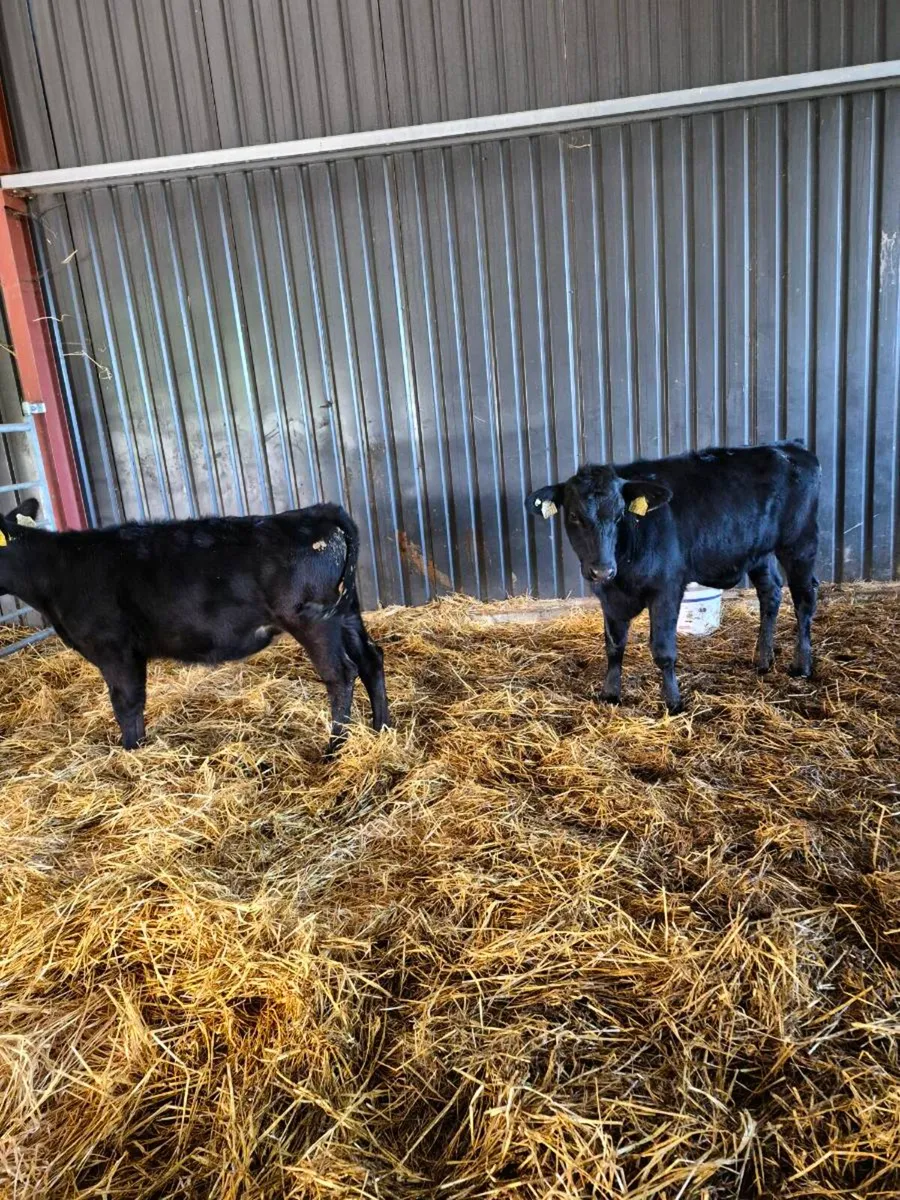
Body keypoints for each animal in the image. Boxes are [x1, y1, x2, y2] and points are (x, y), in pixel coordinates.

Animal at [0, 498, 389, 755]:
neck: (58, 572)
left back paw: (334, 749)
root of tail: (315, 511)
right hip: (346, 612)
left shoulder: (114, 649)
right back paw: (382, 726)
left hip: (311, 621)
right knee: (371, 659)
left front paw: (131, 752)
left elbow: (126, 703)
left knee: (341, 673)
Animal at [527, 441, 820, 714]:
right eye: (574, 516)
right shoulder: (609, 597)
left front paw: (673, 702)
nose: (602, 570)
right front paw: (610, 694)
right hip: (760, 552)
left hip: (800, 544)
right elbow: (614, 645)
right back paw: (763, 660)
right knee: (771, 594)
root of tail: (790, 447)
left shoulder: (666, 589)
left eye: (620, 514)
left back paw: (802, 665)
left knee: (804, 600)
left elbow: (663, 650)